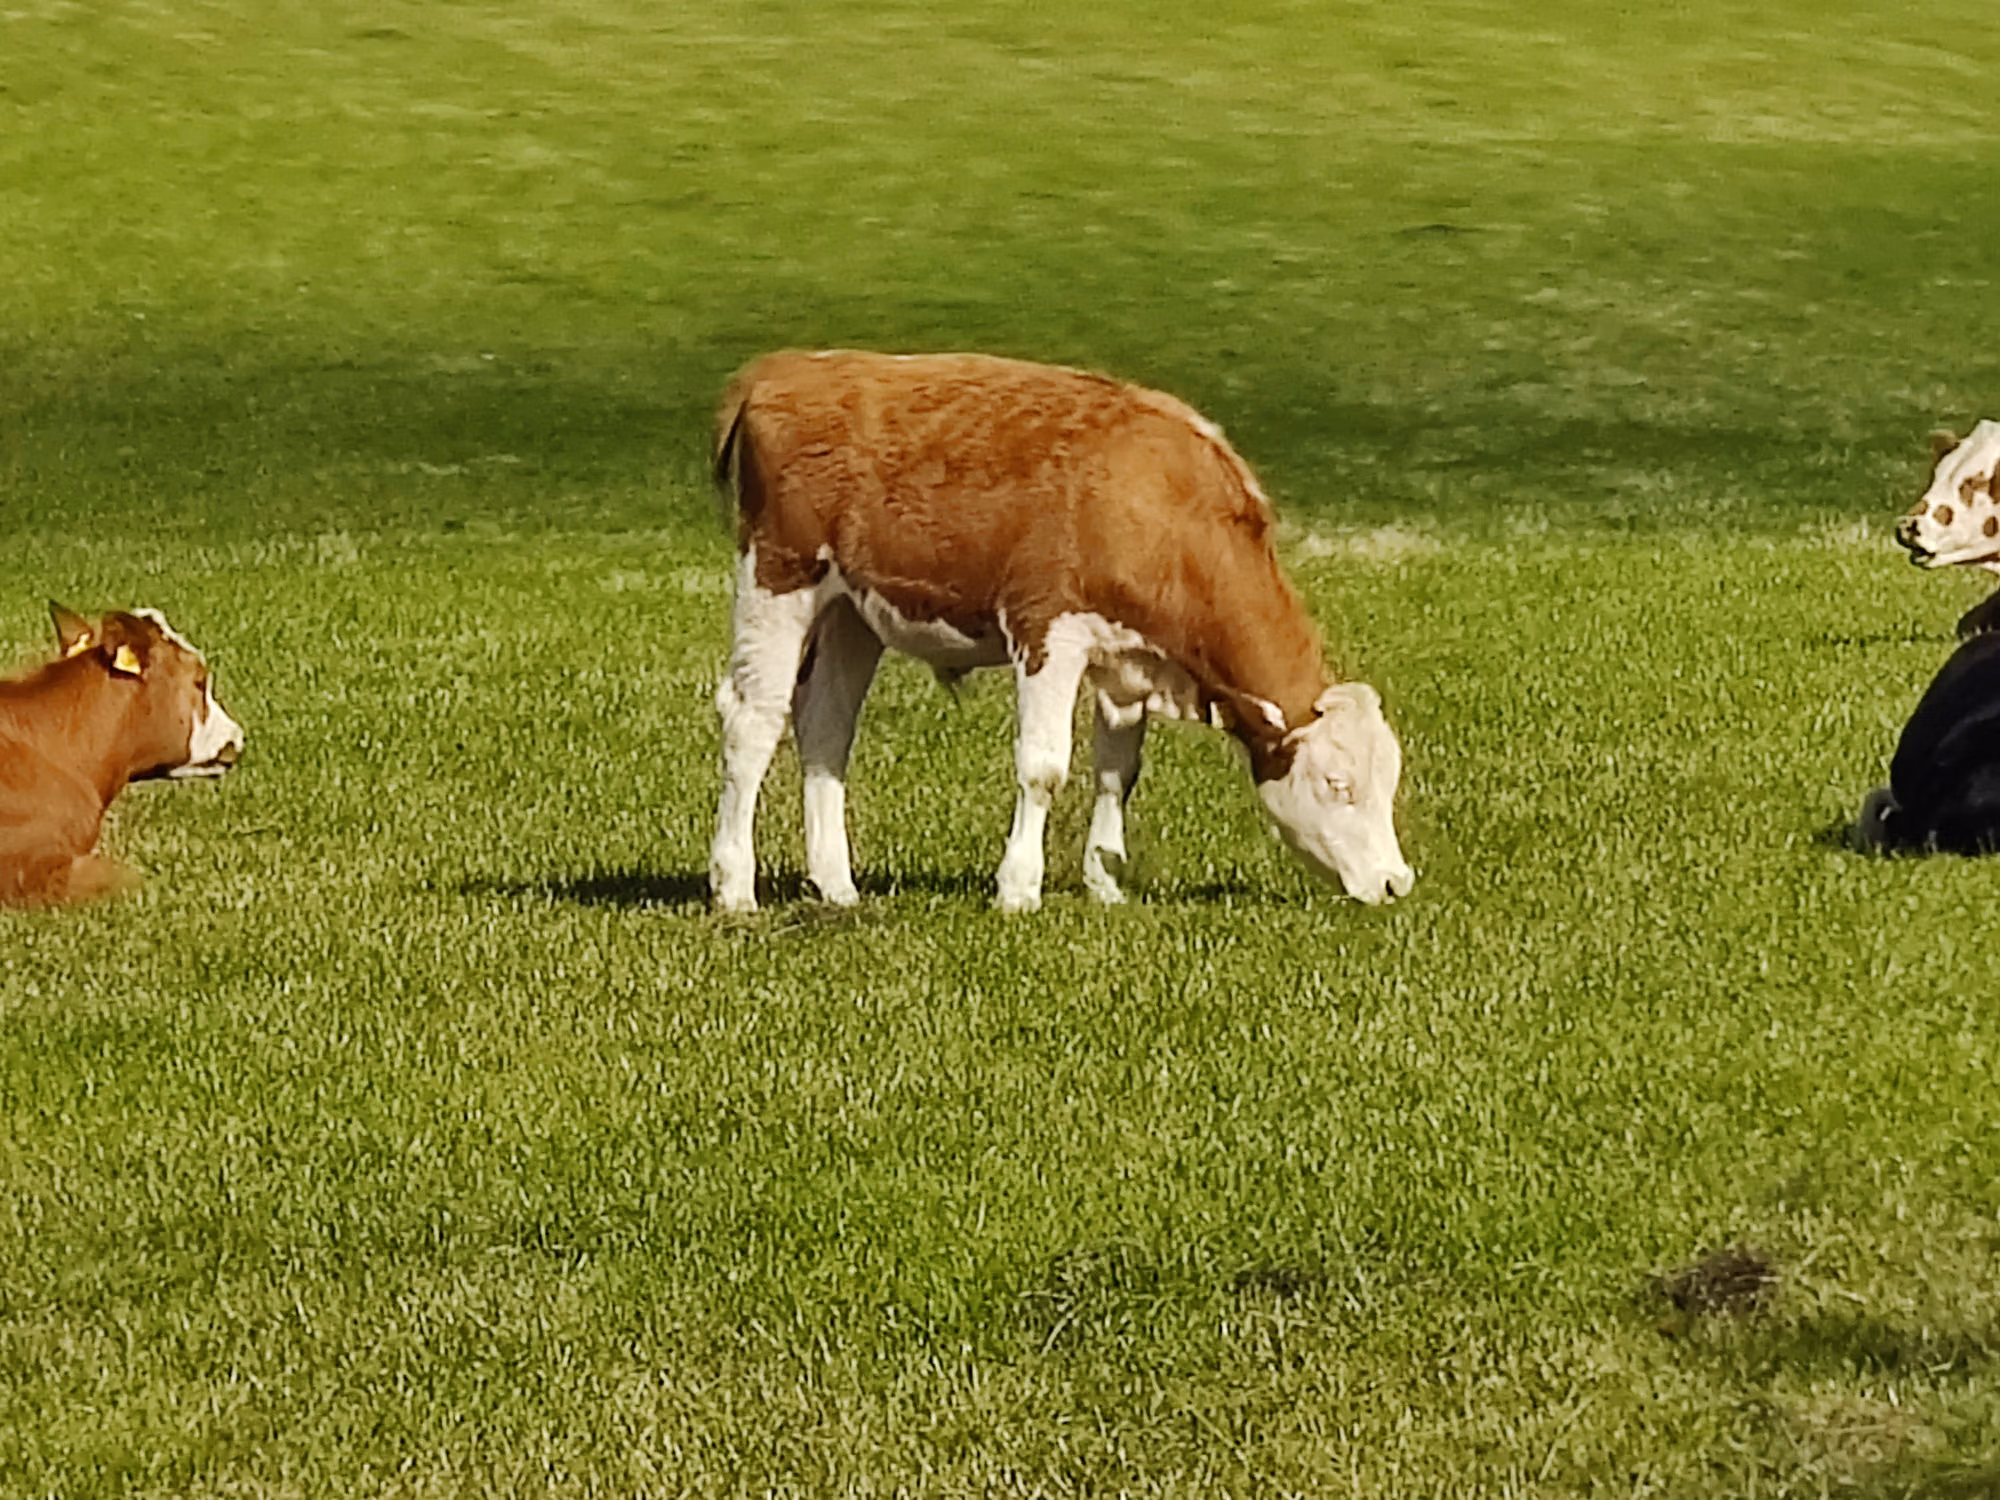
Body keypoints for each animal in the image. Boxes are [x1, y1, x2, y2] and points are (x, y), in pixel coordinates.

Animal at [706, 349, 1414, 914]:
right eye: (1338, 785)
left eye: (1389, 781)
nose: (1395, 882)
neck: (1156, 501)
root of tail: (785, 368)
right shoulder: (1049, 629)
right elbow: (1043, 768)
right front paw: (1019, 888)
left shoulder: (1128, 661)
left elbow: (1117, 770)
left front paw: (1104, 881)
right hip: (778, 576)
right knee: (753, 723)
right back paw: (734, 887)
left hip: (853, 614)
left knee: (826, 728)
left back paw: (836, 884)